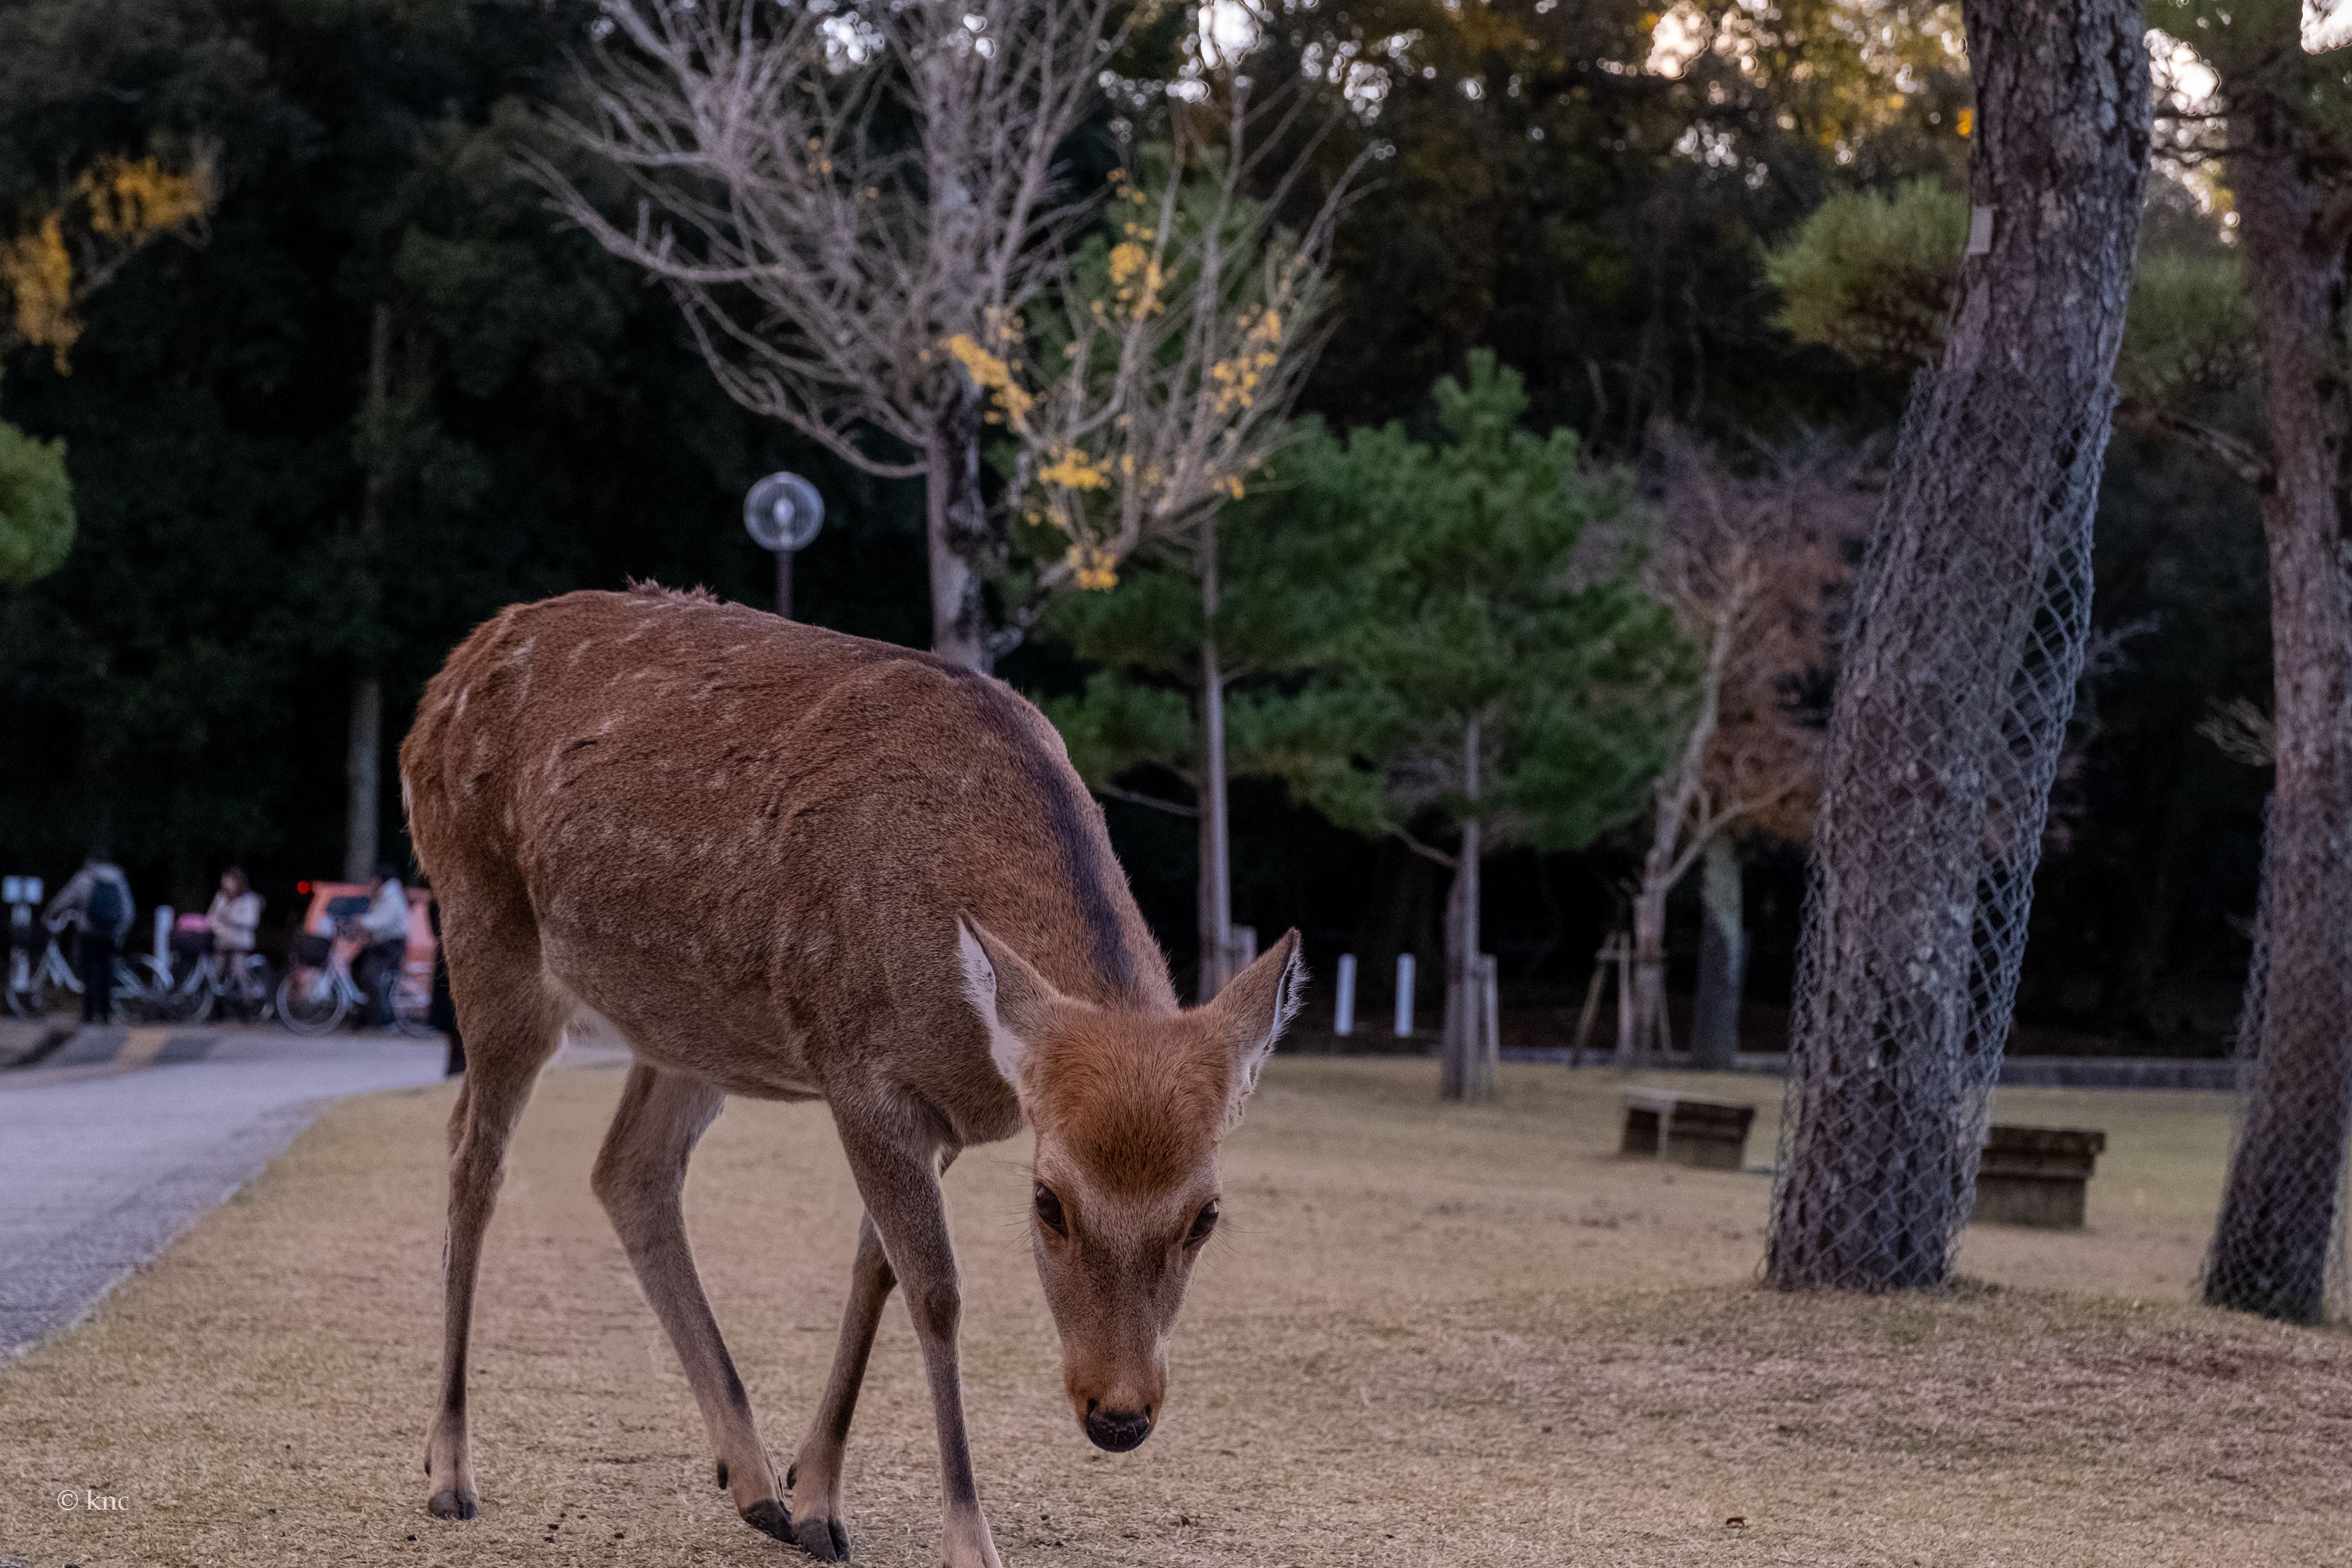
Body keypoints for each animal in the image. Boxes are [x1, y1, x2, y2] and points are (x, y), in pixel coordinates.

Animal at [398, 584, 1302, 1568]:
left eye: (1206, 1213)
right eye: (1048, 1203)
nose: (1119, 1417)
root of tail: (438, 690)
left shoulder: (933, 1111)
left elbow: (877, 1269)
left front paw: (815, 1494)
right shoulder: (860, 1067)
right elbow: (936, 1291)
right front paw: (967, 1542)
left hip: (689, 1028)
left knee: (628, 1171)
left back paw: (753, 1479)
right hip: (485, 923)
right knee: (474, 1158)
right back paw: (450, 1470)